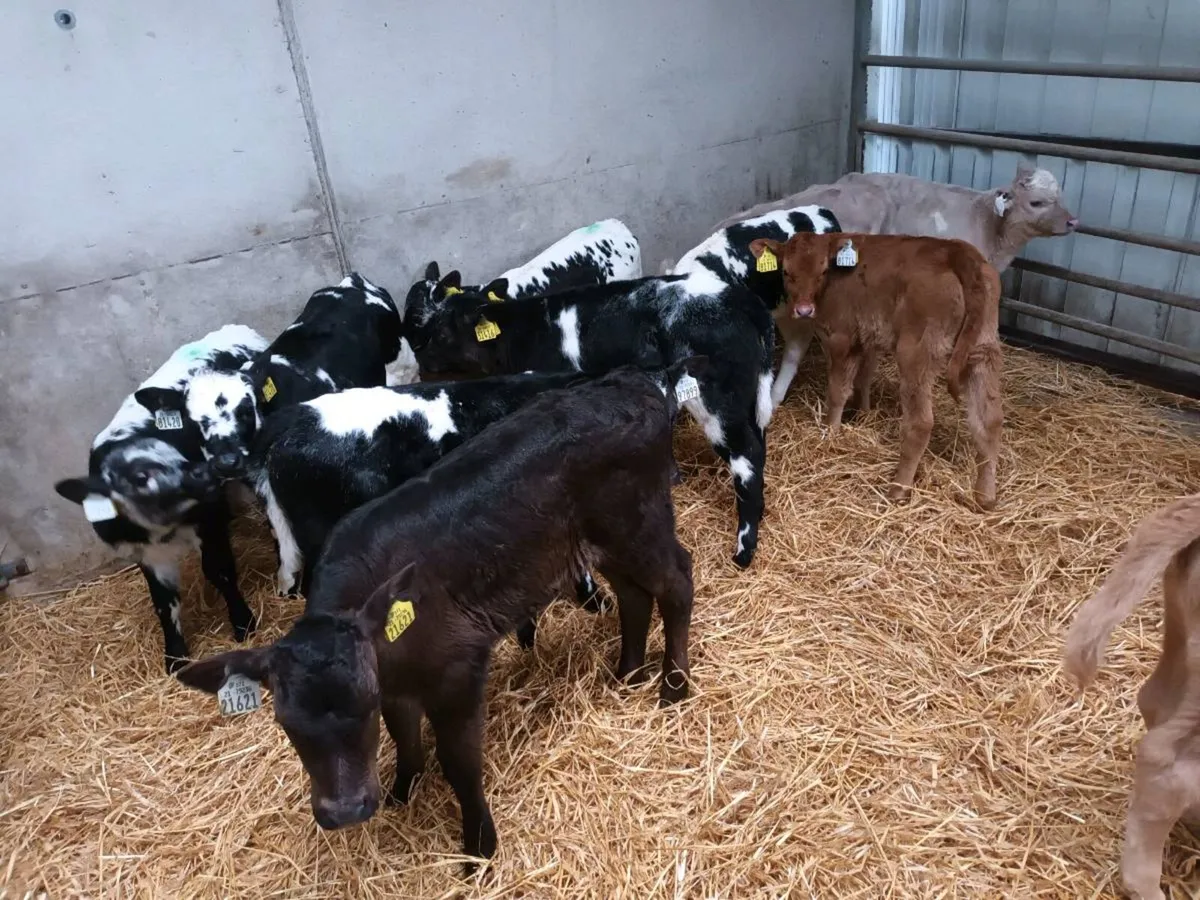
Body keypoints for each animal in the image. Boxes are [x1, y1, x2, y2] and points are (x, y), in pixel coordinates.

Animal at [54, 324, 268, 673]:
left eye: (178, 455)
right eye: (141, 480)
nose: (212, 471)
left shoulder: (208, 518)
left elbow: (220, 570)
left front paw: (243, 623)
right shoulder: (146, 551)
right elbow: (163, 601)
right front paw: (176, 655)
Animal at [175, 366, 694, 869]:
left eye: (362, 705)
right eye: (285, 723)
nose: (345, 812)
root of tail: (633, 383)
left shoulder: (458, 670)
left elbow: (459, 762)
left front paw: (478, 846)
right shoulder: (396, 686)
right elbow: (404, 736)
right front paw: (403, 789)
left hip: (639, 523)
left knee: (677, 584)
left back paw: (673, 687)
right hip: (601, 540)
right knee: (633, 596)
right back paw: (628, 673)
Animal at [406, 269, 776, 568]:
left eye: (442, 334)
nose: (421, 362)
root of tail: (738, 297)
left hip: (717, 399)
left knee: (746, 457)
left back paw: (743, 551)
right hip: (747, 395)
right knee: (759, 444)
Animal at [751, 232, 1003, 509]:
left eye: (823, 270)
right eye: (786, 271)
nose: (804, 310)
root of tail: (956, 251)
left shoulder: (841, 337)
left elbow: (837, 391)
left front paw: (830, 431)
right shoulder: (867, 339)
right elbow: (864, 377)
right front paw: (862, 413)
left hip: (917, 353)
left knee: (920, 424)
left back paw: (898, 489)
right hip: (983, 351)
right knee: (989, 421)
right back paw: (985, 496)